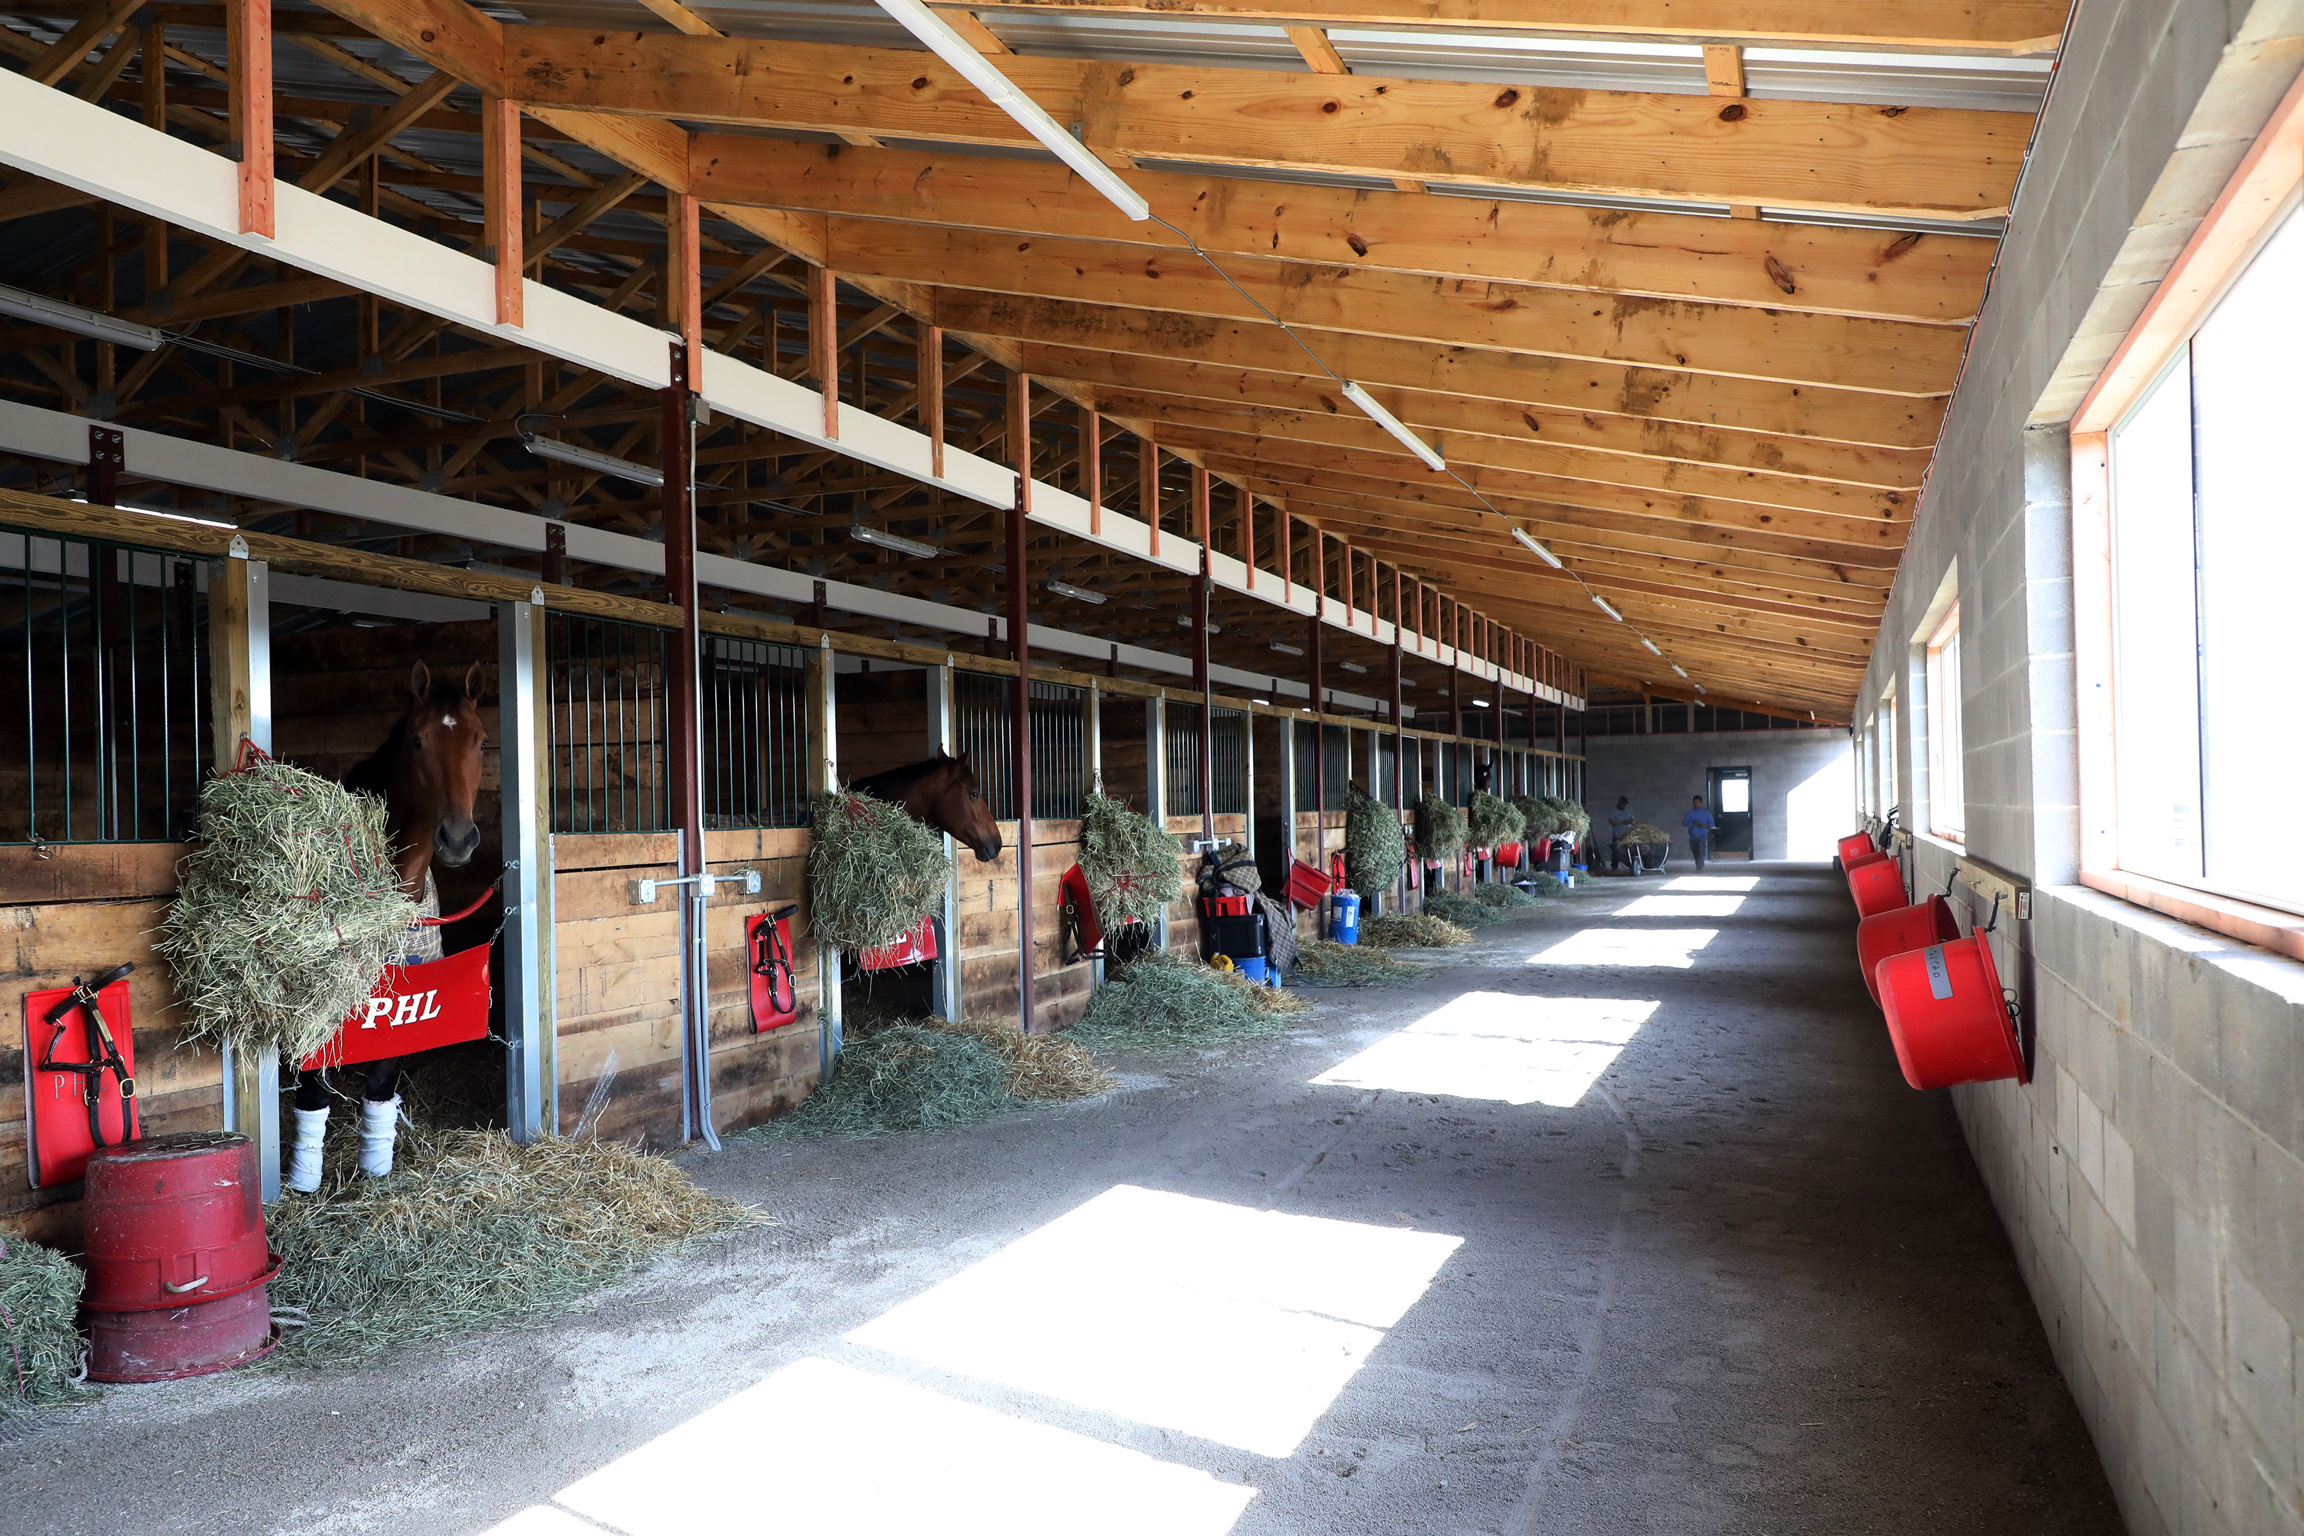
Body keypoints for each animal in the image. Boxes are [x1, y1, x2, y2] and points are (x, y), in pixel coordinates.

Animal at [285, 654, 488, 1197]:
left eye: (481, 740)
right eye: (417, 741)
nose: (457, 838)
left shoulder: (407, 991)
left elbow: (380, 1084)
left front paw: (375, 1170)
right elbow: (313, 1091)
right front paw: (303, 1184)